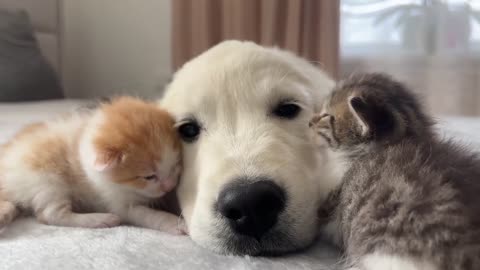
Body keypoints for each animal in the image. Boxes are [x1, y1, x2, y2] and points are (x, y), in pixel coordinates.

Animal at [0, 97, 184, 234]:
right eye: (148, 177)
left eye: (175, 165)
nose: (169, 186)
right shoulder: (116, 202)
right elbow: (145, 214)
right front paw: (175, 223)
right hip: (46, 178)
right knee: (49, 214)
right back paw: (101, 219)